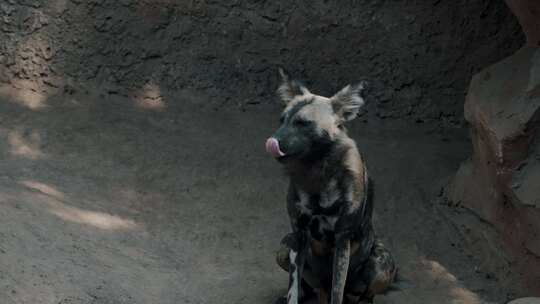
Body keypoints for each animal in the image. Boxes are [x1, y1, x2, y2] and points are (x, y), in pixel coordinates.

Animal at [266, 69, 396, 304]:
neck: (316, 173)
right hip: (284, 248)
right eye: (282, 121)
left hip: (380, 266)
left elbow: (338, 291)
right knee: (309, 289)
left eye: (303, 123)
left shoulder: (342, 238)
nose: (273, 141)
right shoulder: (298, 234)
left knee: (359, 295)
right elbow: (293, 289)